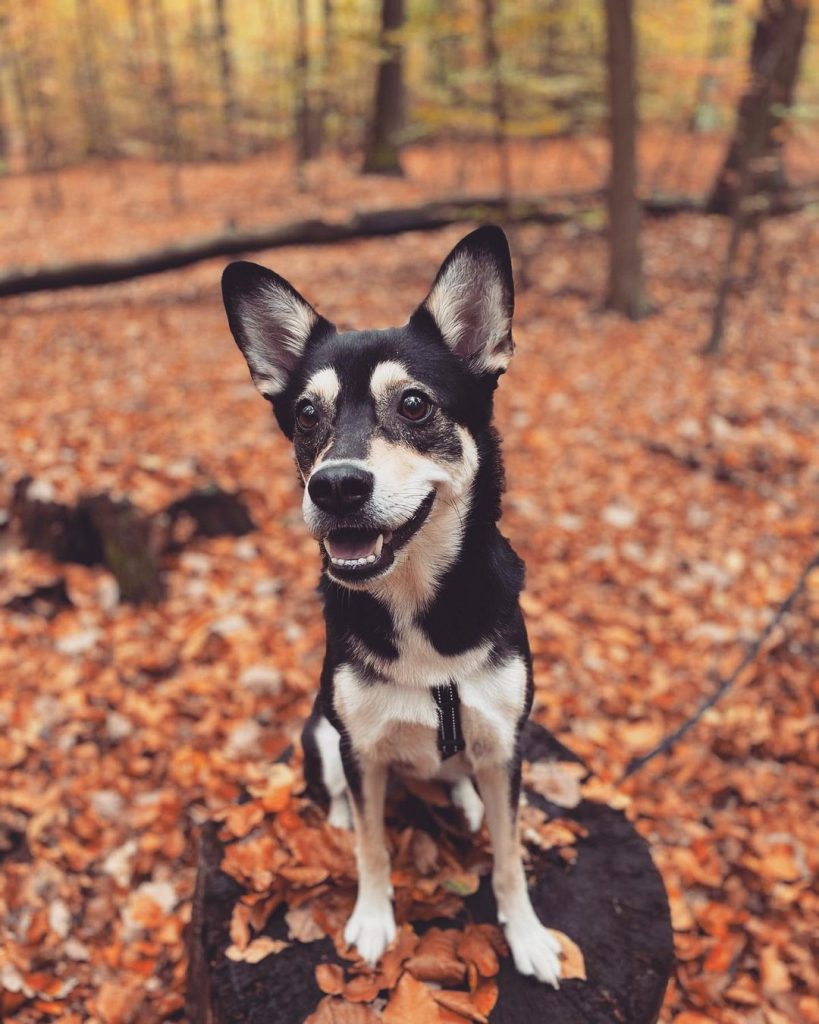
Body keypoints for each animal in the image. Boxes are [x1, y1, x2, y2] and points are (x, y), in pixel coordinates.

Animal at [224, 226, 565, 983]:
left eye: (413, 404)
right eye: (306, 414)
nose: (335, 487)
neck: (417, 610)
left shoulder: (507, 743)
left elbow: (509, 858)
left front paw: (527, 934)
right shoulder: (360, 748)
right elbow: (373, 847)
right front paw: (373, 920)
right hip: (320, 732)